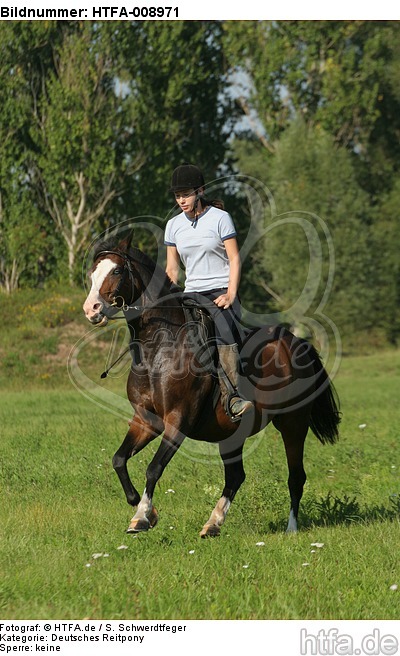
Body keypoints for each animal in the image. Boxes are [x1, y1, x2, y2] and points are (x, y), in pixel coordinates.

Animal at [83, 232, 340, 537]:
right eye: (92, 273)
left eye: (117, 271)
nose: (91, 309)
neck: (159, 350)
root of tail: (296, 342)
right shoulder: (146, 420)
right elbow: (119, 460)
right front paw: (143, 510)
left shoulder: (178, 420)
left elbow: (153, 468)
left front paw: (143, 517)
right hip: (233, 434)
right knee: (236, 476)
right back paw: (213, 523)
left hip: (293, 423)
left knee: (295, 477)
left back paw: (290, 529)